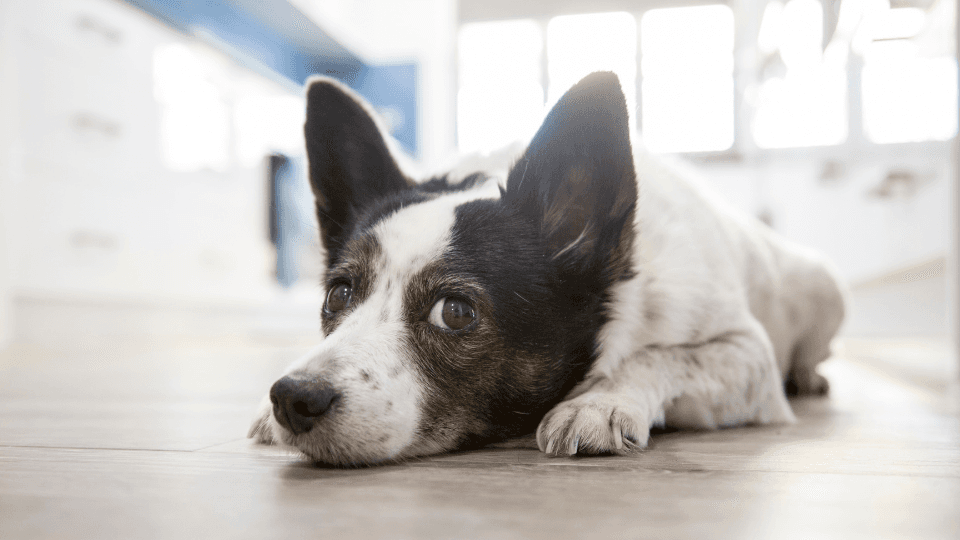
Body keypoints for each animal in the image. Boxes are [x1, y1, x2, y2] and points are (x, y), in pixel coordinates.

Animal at [249, 69, 848, 466]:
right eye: (338, 294)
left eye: (455, 313)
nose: (292, 397)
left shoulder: (747, 357)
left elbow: (661, 355)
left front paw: (599, 402)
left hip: (825, 293)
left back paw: (809, 375)